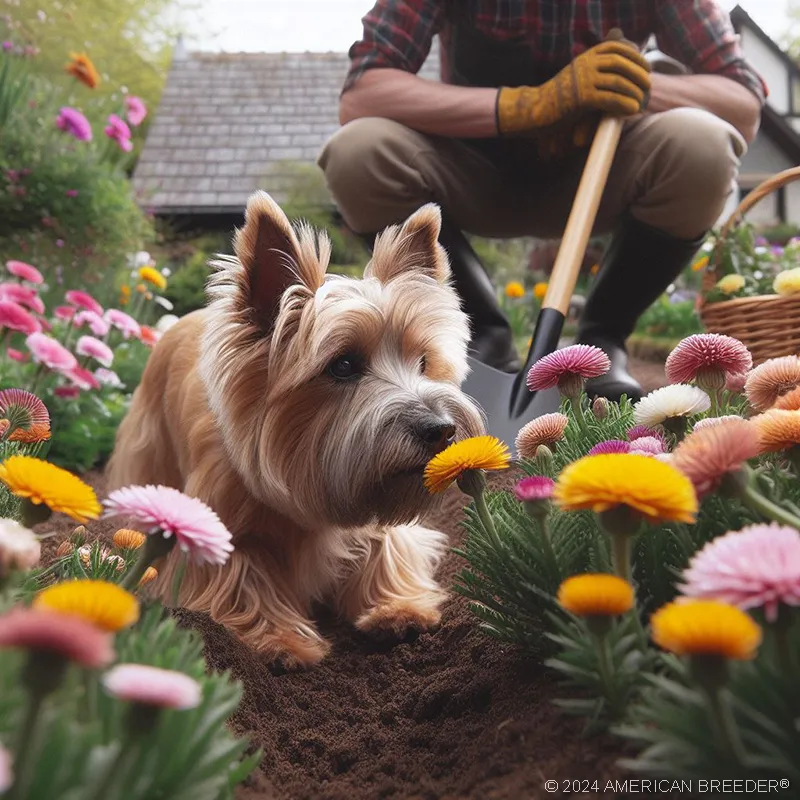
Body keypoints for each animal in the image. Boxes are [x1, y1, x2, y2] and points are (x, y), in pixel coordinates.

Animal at [105, 191, 482, 664]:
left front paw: (396, 608)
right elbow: (245, 577)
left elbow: (385, 547)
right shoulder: (224, 533)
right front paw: (281, 639)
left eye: (424, 361)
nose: (441, 429)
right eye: (343, 365)